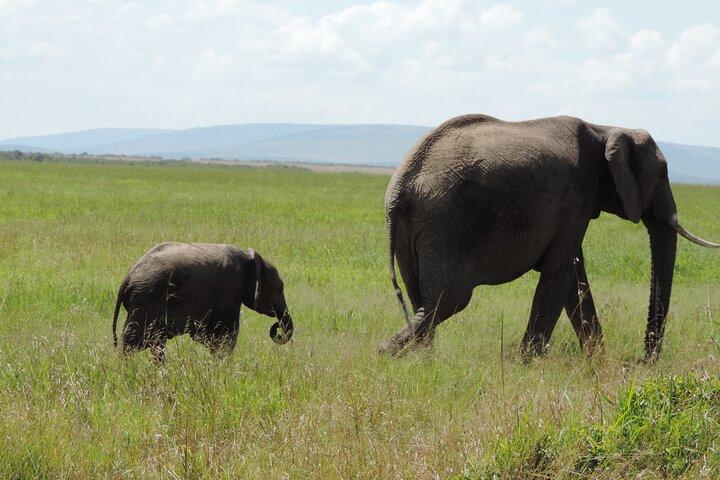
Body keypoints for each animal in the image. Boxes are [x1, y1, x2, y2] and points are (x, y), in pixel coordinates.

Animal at [112, 242, 294, 361]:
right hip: (146, 301)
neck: (249, 259)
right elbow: (227, 332)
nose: (277, 327)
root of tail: (127, 279)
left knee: (155, 342)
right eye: (278, 289)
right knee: (133, 341)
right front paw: (223, 364)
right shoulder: (229, 289)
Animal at [380, 114, 719, 361]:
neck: (605, 128)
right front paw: (529, 363)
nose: (641, 362)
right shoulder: (577, 198)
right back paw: (387, 353)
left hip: (419, 231)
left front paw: (595, 363)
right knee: (449, 300)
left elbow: (574, 276)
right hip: (447, 226)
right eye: (662, 174)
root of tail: (401, 188)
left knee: (423, 297)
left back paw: (421, 361)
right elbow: (562, 272)